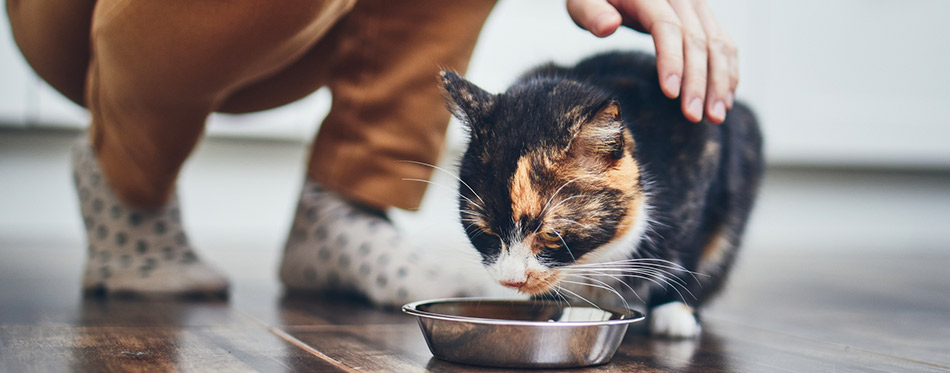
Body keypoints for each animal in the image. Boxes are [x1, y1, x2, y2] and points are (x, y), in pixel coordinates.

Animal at [440, 50, 768, 338]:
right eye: (485, 232)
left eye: (551, 235)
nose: (511, 280)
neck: (592, 259)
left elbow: (690, 248)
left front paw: (675, 310)